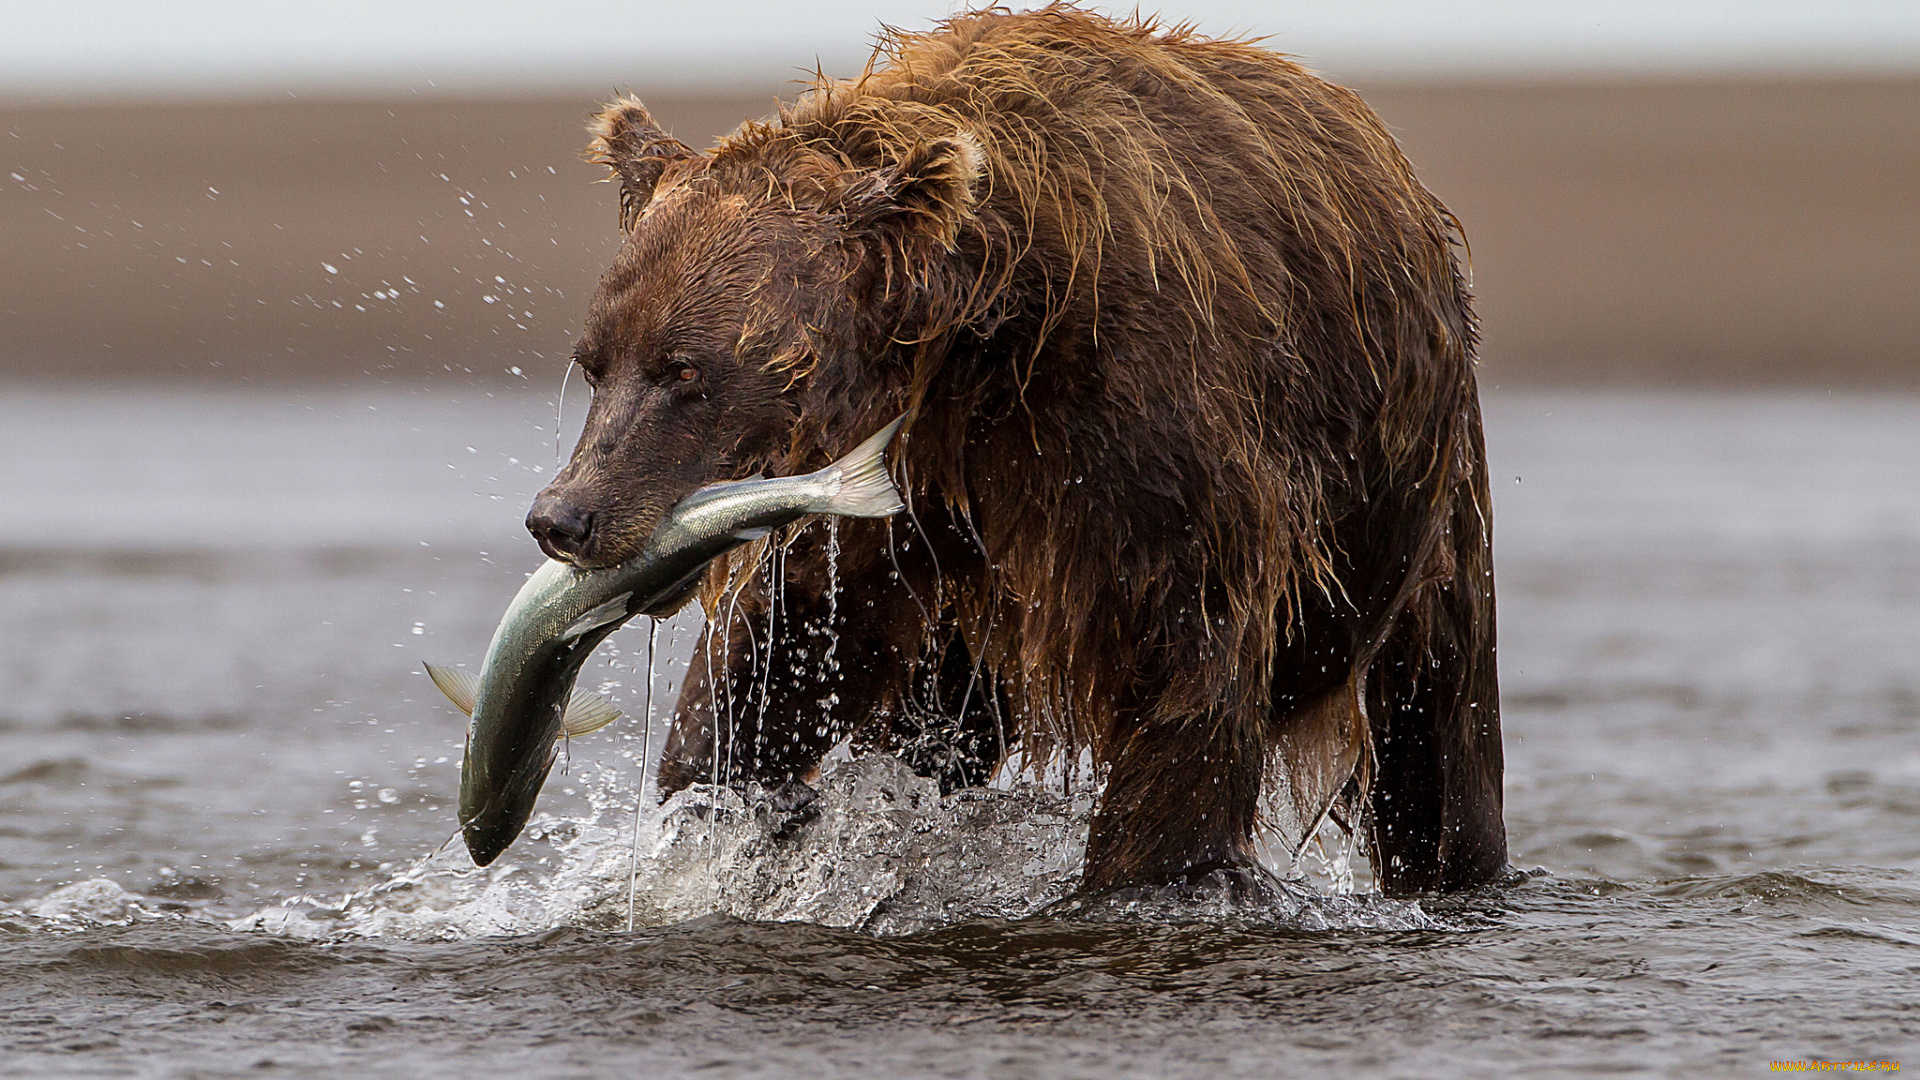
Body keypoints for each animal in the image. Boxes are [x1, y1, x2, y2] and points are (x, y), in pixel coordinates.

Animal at [526, 4, 1497, 895]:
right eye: (594, 361)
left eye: (684, 369)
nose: (564, 516)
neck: (983, 331)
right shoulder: (894, 487)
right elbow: (777, 653)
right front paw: (722, 809)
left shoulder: (1143, 436)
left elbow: (1184, 681)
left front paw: (1143, 873)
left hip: (1421, 507)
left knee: (1439, 738)